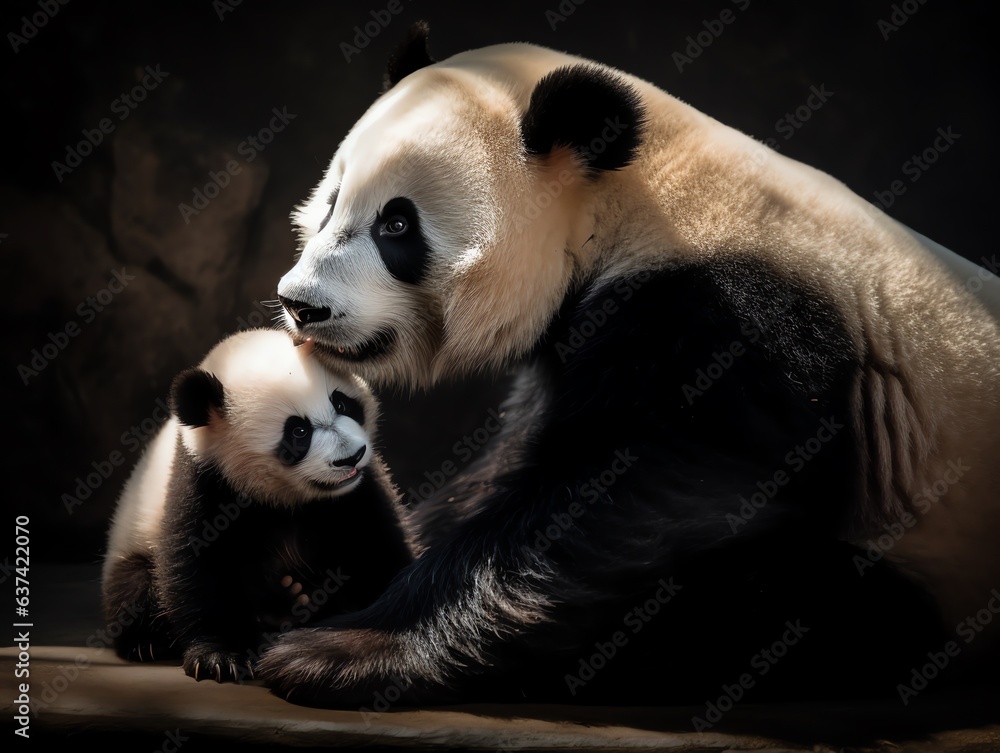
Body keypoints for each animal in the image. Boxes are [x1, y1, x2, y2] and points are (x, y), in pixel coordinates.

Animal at [101, 328, 412, 683]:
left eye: (342, 403)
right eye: (298, 431)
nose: (351, 458)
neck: (285, 495)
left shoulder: (358, 492)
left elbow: (377, 546)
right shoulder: (207, 483)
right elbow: (199, 565)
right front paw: (220, 656)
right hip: (133, 538)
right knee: (133, 584)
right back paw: (146, 642)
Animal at [260, 24, 1000, 707]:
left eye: (397, 225)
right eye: (330, 203)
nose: (302, 305)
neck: (642, 194)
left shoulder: (738, 319)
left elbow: (631, 488)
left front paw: (338, 650)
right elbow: (521, 459)